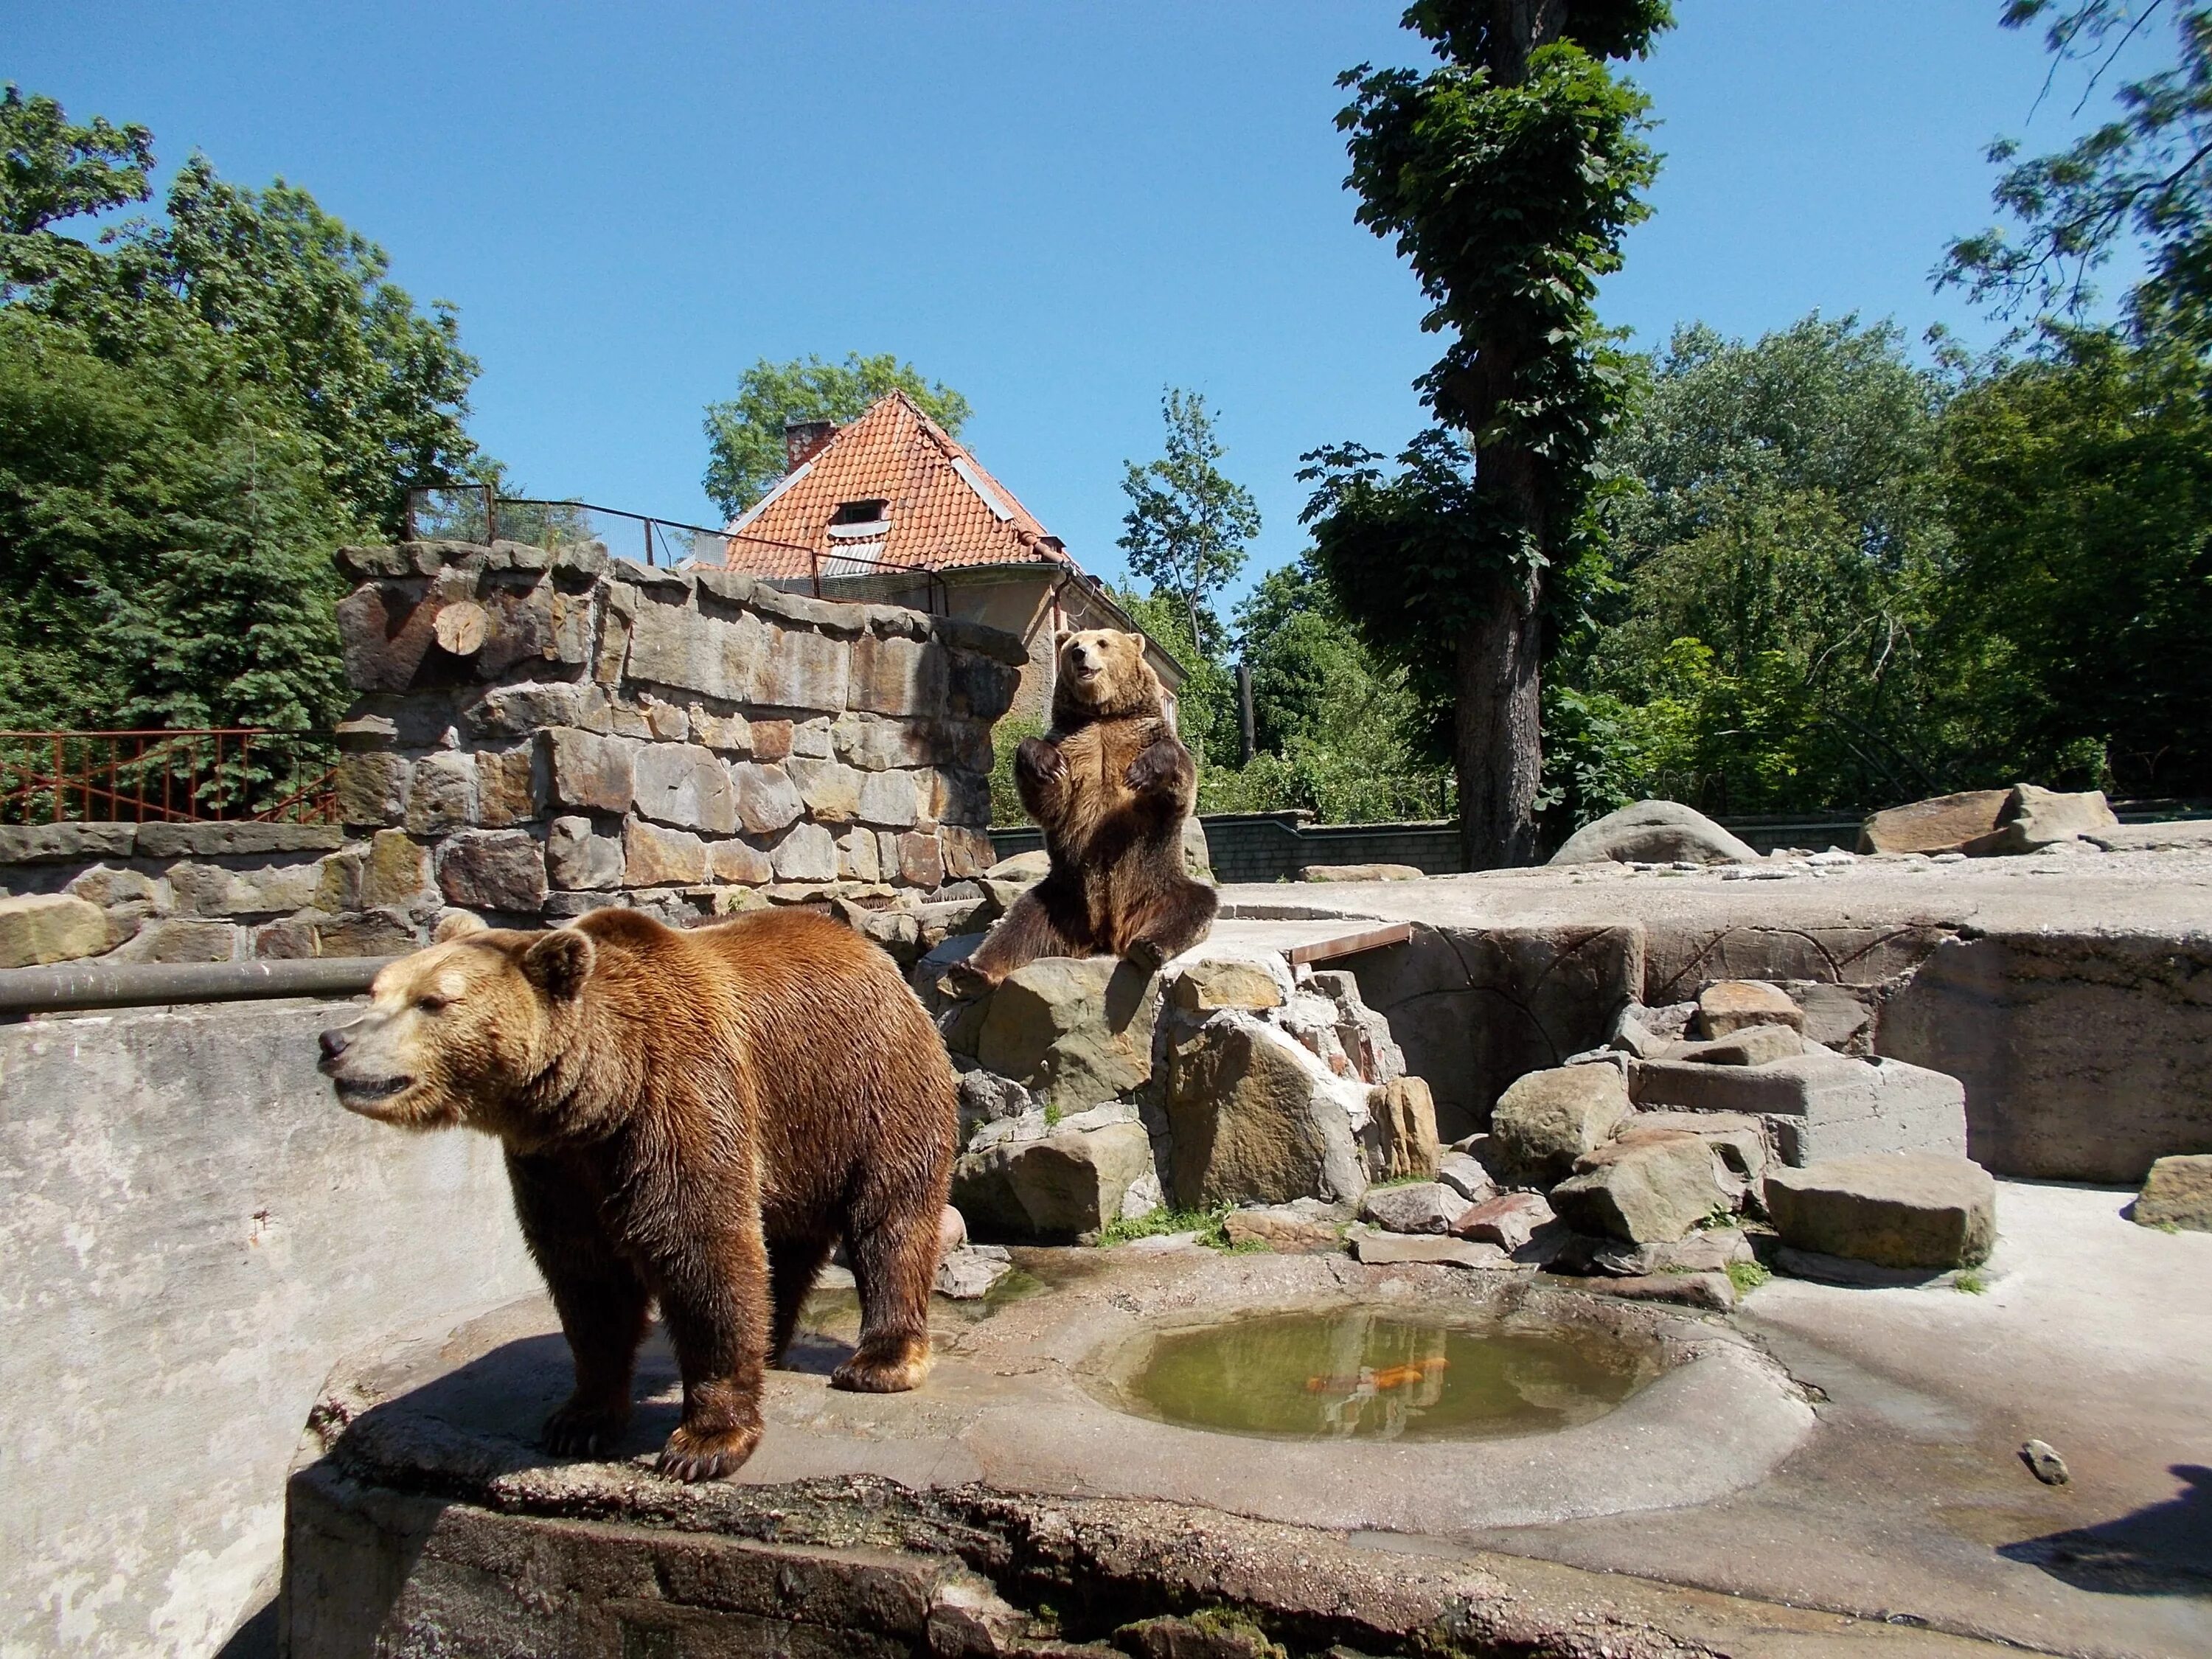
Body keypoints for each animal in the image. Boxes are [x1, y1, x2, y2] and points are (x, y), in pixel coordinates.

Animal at [316, 902, 956, 1486]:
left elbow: (703, 1253)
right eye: (377, 990)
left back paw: (880, 1361)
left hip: (865, 1090)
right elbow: (586, 1283)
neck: (596, 1098)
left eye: (433, 1001)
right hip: (797, 1138)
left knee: (890, 1221)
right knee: (786, 1243)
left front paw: (703, 1444)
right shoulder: (556, 1168)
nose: (332, 1041)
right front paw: (579, 1419)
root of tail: (873, 953)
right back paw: (773, 1342)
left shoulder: (677, 1103)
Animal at [956, 628, 1230, 995]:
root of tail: (1105, 932)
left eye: (1103, 643)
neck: (1103, 715)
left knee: (1192, 905)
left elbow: (1178, 778)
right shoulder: (1071, 742)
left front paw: (1143, 772)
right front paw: (1044, 763)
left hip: (1156, 884)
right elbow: (1047, 798)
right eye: (1074, 644)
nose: (1079, 655)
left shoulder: (1143, 735)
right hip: (1062, 896)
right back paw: (972, 969)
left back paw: (1148, 947)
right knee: (1019, 923)